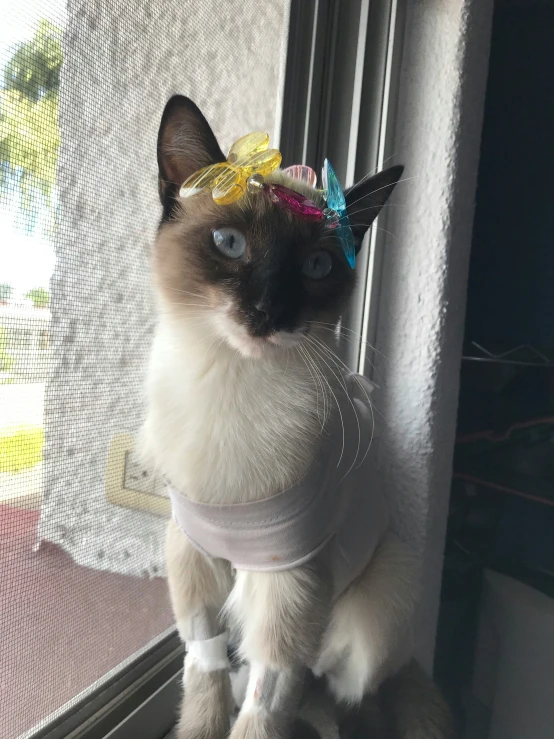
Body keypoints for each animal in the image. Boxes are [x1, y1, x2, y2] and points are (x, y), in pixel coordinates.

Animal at [140, 98, 454, 739]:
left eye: (315, 266)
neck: (228, 383)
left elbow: (264, 707)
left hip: (380, 595)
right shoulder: (195, 561)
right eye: (229, 242)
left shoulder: (289, 582)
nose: (268, 311)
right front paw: (201, 725)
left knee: (338, 688)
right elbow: (204, 676)